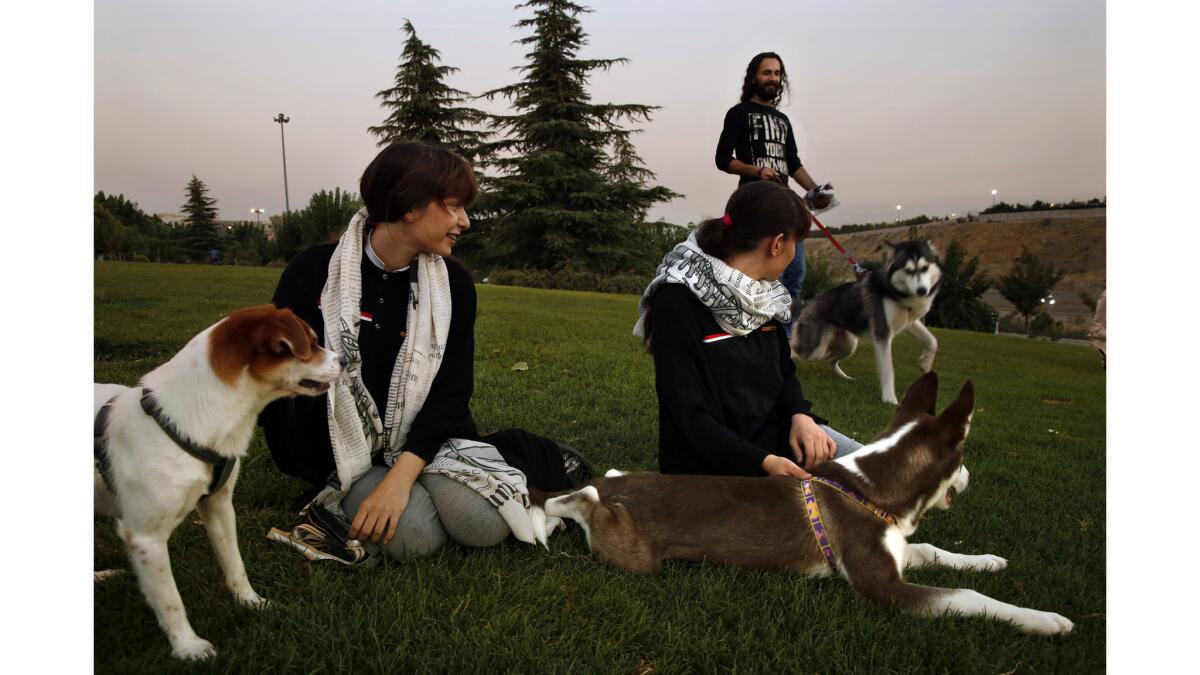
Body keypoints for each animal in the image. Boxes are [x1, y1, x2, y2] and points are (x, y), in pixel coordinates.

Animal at [94, 305, 343, 658]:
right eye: (311, 343)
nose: (347, 359)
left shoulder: (219, 506)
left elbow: (234, 564)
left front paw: (251, 602)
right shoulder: (145, 537)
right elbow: (169, 600)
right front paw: (187, 646)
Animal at [540, 369, 1075, 634]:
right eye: (962, 456)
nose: (969, 477)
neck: (872, 486)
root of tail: (612, 488)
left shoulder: (892, 549)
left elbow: (935, 551)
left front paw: (987, 560)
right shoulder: (881, 586)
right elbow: (965, 597)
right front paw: (1044, 620)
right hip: (634, 552)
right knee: (578, 505)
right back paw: (562, 505)